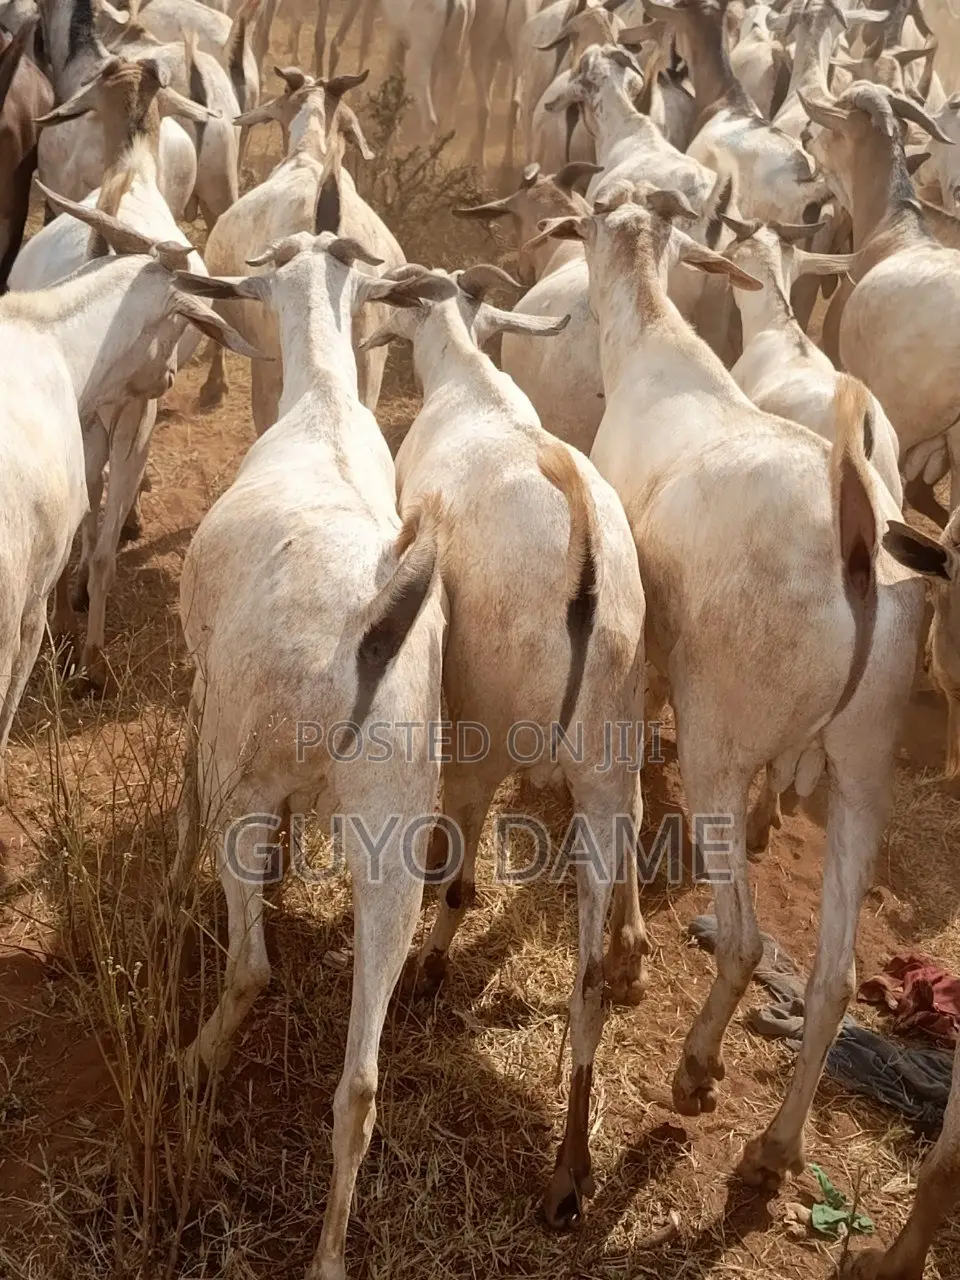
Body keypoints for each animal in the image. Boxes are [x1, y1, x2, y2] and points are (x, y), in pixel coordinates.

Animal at [171, 233, 445, 1280]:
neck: (322, 399)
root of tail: (370, 618)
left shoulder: (206, 690)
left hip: (244, 769)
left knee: (251, 966)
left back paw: (195, 1062)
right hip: (395, 831)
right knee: (360, 1086)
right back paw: (327, 1256)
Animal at [361, 260, 649, 1231]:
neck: (471, 384)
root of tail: (585, 554)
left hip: (488, 729)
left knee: (455, 868)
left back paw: (428, 969)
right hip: (606, 759)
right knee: (589, 968)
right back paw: (567, 1174)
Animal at [538, 194, 924, 1202]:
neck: (654, 342)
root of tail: (856, 540)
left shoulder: (647, 654)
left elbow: (631, 781)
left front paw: (626, 949)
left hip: (722, 733)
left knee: (747, 942)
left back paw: (697, 1072)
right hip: (867, 766)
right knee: (835, 976)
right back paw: (773, 1151)